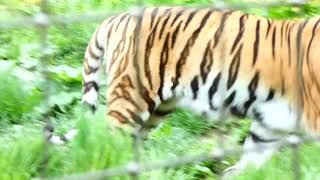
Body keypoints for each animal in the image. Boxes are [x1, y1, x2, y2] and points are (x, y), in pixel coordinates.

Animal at [49, 5, 320, 177]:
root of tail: (118, 17)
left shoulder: (268, 128)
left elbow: (243, 167)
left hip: (156, 110)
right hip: (130, 99)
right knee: (105, 145)